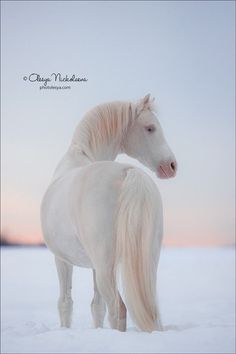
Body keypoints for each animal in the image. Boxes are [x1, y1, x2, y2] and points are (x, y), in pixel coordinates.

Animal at [41, 94, 177, 332]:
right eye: (150, 128)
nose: (171, 165)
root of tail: (128, 172)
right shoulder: (92, 265)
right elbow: (96, 306)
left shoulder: (62, 260)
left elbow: (65, 303)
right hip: (147, 261)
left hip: (106, 267)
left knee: (118, 308)